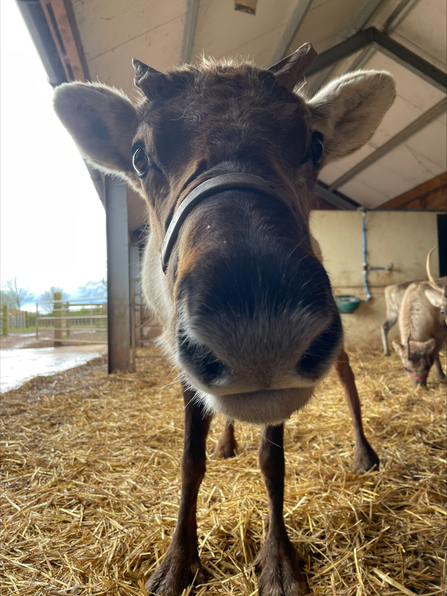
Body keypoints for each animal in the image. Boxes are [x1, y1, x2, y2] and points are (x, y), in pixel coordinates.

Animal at [53, 46, 396, 596]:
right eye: (139, 157)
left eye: (315, 143)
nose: (259, 329)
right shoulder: (181, 362)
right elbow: (189, 462)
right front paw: (177, 560)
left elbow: (273, 463)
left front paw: (279, 561)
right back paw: (227, 441)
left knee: (347, 379)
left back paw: (364, 453)